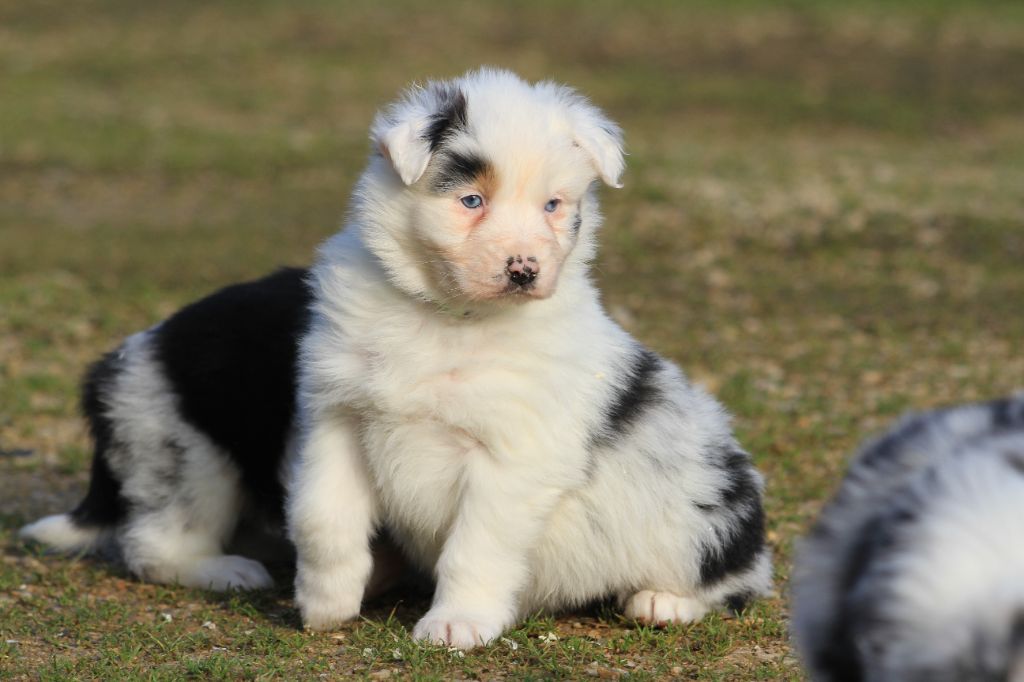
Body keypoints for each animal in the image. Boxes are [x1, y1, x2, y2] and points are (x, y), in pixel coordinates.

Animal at [19, 70, 770, 647]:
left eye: (555, 206)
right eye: (471, 200)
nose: (524, 270)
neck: (447, 319)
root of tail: (116, 362)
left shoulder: (511, 459)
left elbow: (476, 545)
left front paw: (457, 624)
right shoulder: (335, 418)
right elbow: (323, 517)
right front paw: (325, 603)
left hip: (705, 518)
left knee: (741, 578)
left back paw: (663, 601)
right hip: (186, 453)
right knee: (157, 545)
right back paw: (238, 571)